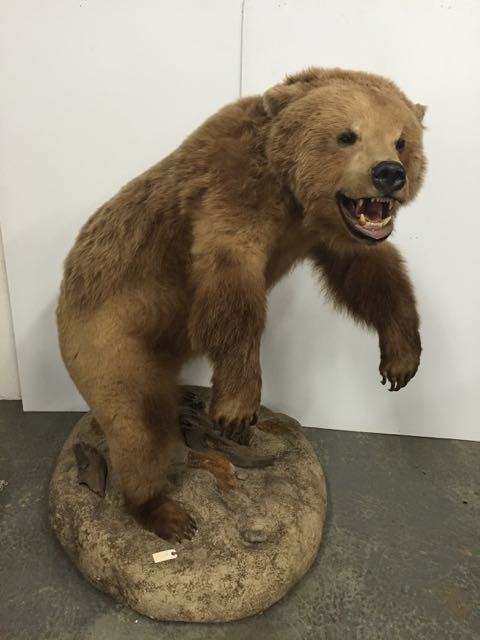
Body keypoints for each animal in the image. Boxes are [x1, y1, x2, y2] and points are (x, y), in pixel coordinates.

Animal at [57, 67, 427, 542]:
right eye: (347, 135)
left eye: (402, 140)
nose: (389, 174)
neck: (291, 196)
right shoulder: (229, 196)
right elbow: (231, 291)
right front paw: (237, 408)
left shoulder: (335, 234)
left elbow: (369, 275)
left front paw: (401, 361)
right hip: (108, 339)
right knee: (138, 424)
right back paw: (166, 513)